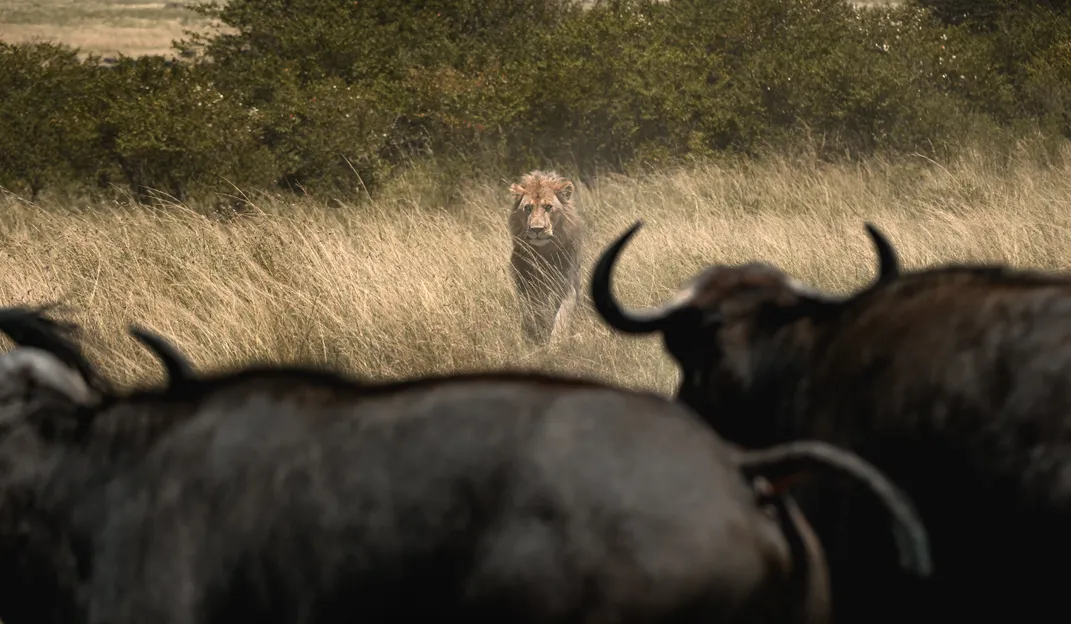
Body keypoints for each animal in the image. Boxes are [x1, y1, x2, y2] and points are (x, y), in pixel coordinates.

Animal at [508, 169, 586, 345]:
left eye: (548, 207)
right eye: (528, 208)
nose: (536, 229)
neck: (544, 253)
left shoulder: (566, 285)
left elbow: (562, 318)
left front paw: (555, 345)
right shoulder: (529, 287)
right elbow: (538, 312)